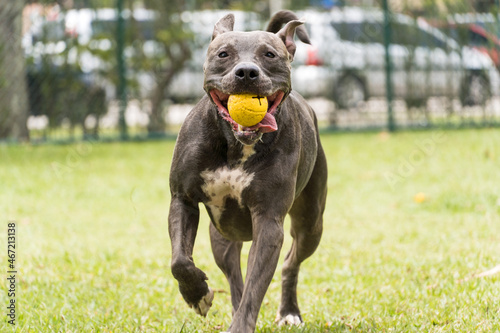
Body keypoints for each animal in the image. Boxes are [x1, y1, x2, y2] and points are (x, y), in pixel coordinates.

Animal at [169, 10, 328, 332]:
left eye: (269, 55)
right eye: (223, 54)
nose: (246, 72)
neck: (236, 146)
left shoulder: (268, 222)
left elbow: (256, 286)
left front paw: (240, 324)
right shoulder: (182, 200)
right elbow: (179, 261)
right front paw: (197, 294)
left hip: (310, 223)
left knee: (290, 262)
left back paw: (289, 311)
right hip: (222, 234)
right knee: (233, 274)